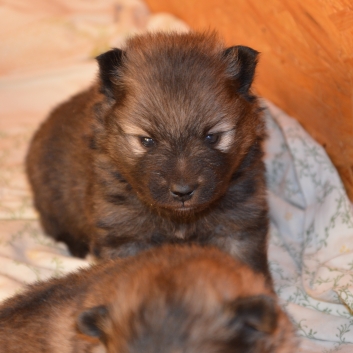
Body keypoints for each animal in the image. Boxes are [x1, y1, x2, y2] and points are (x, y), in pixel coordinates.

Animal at [26, 31, 270, 278]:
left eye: (212, 137)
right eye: (147, 141)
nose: (183, 191)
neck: (180, 219)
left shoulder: (238, 228)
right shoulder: (124, 237)